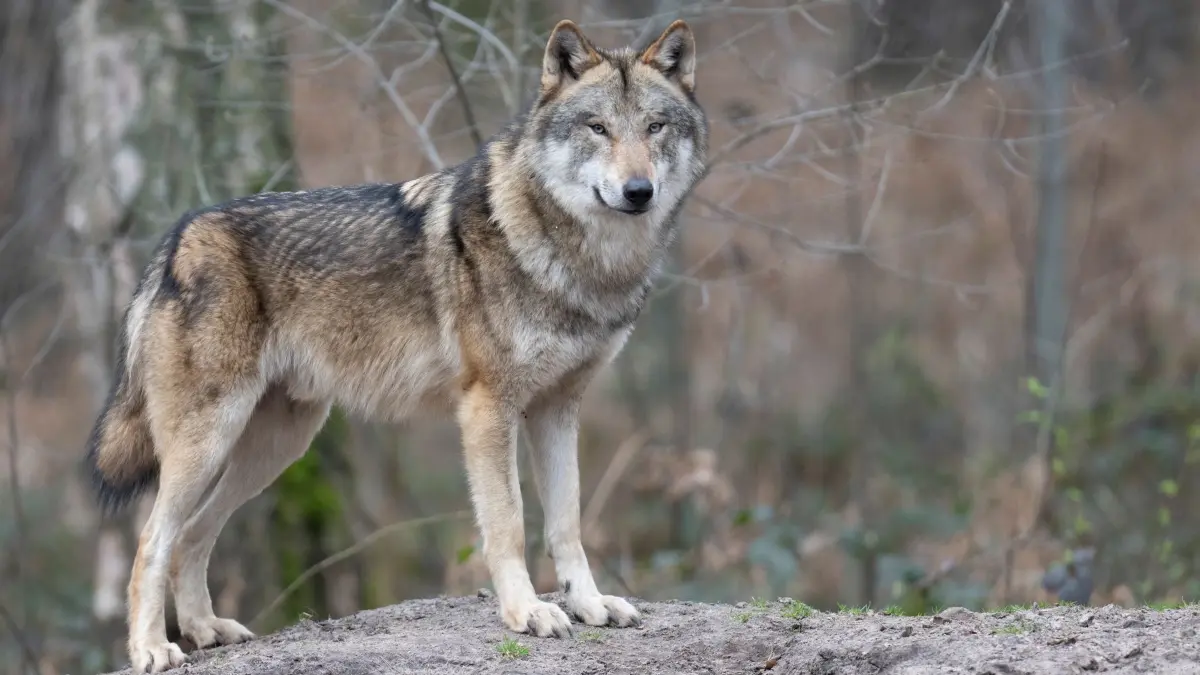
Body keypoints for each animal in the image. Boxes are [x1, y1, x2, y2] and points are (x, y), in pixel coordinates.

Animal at [84, 18, 707, 673]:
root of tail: (177, 237)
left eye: (654, 127)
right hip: (210, 442)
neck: (581, 263)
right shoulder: (488, 408)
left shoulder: (558, 410)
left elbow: (566, 523)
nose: (638, 191)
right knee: (153, 540)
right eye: (597, 128)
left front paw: (588, 605)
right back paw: (152, 648)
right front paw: (527, 612)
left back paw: (207, 631)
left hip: (275, 448)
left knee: (193, 536)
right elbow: (509, 524)